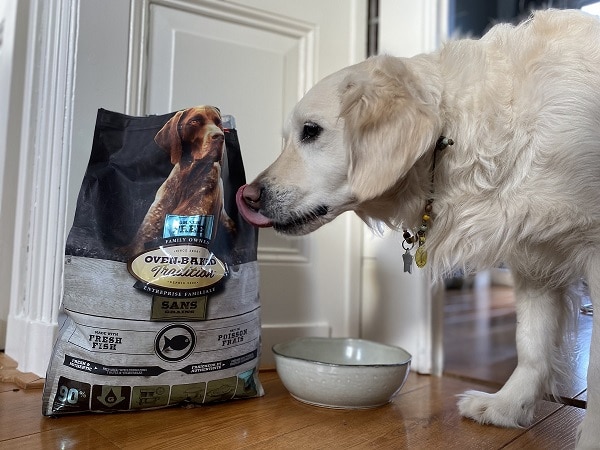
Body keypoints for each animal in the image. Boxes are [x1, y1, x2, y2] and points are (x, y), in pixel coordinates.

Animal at [237, 8, 600, 448]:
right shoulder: (534, 255)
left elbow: (595, 371)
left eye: (311, 131)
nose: (247, 196)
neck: (456, 134)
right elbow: (530, 343)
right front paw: (506, 406)